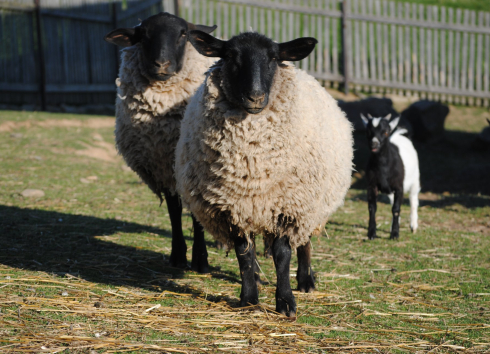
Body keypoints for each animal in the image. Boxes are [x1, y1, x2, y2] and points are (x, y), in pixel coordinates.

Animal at [174, 31, 354, 318]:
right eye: (230, 56)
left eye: (273, 58)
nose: (256, 97)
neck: (252, 163)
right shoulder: (232, 206)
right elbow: (243, 253)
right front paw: (249, 298)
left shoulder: (288, 205)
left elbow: (282, 254)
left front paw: (286, 302)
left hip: (310, 202)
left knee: (304, 242)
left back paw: (306, 280)